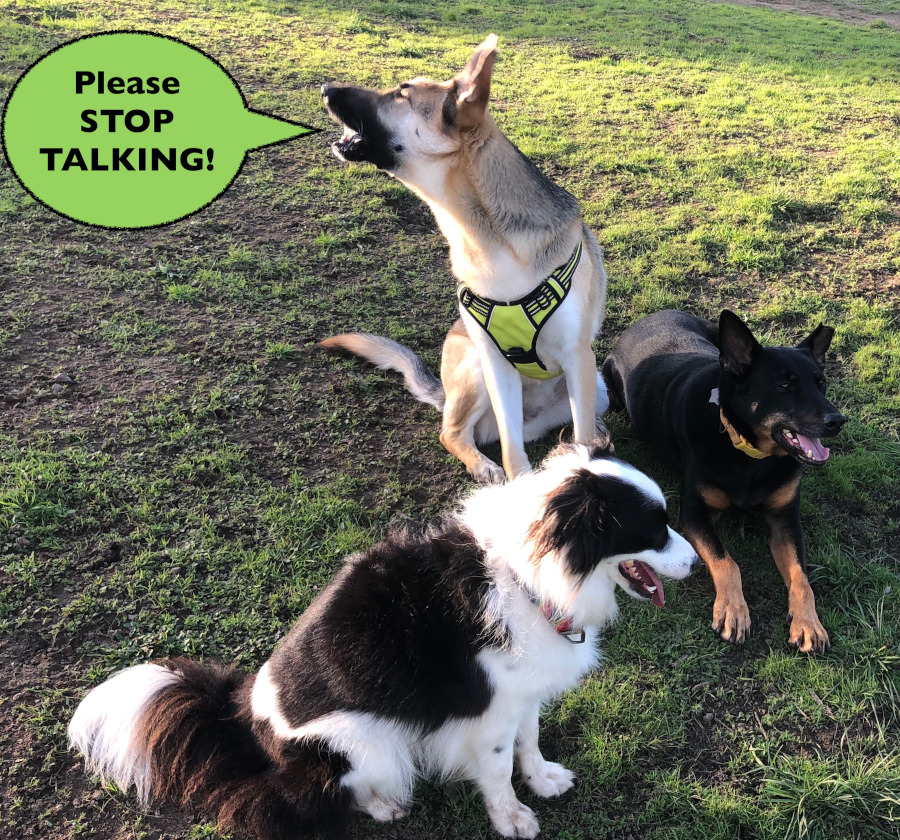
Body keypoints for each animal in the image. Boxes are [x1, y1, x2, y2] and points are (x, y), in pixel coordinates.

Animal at [72, 442, 696, 836]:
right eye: (654, 529)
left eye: (669, 520)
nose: (696, 563)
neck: (534, 573)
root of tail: (243, 715)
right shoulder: (489, 713)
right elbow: (497, 770)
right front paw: (512, 819)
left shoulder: (520, 695)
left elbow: (531, 740)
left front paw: (541, 780)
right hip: (369, 741)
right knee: (298, 799)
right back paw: (383, 805)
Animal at [600, 310, 848, 656]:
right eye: (785, 385)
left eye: (821, 383)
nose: (837, 421)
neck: (750, 454)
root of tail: (654, 315)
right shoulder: (694, 512)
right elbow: (726, 561)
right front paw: (733, 610)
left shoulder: (785, 516)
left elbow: (800, 576)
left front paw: (808, 622)